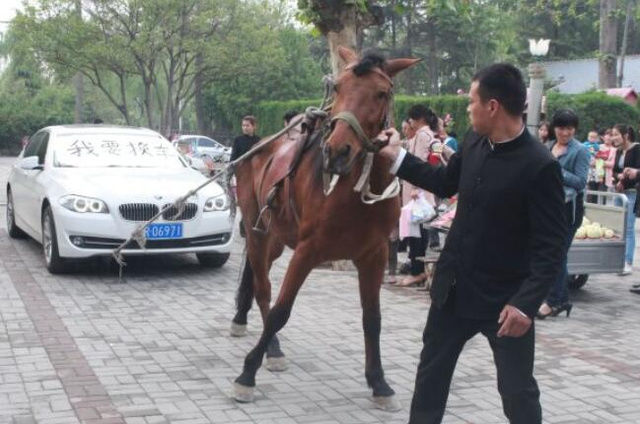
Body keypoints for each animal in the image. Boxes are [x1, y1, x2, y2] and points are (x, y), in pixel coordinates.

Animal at [232, 48, 418, 410]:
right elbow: (281, 311)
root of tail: (257, 147)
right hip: (257, 230)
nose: (338, 151)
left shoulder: (374, 254)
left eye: (382, 93)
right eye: (339, 87)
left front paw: (379, 382)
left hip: (276, 237)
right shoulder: (308, 250)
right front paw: (246, 375)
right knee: (263, 290)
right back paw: (271, 348)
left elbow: (372, 319)